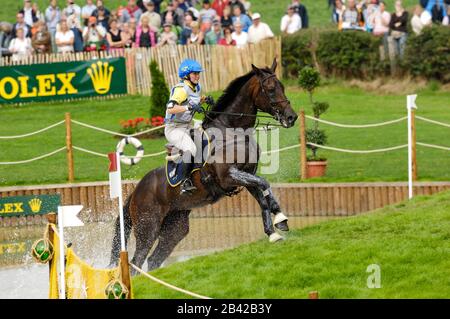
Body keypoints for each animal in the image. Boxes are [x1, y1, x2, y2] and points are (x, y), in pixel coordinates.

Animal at [110, 59, 298, 272]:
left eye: (282, 86)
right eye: (271, 89)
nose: (291, 117)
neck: (232, 131)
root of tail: (135, 191)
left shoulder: (247, 175)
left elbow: (263, 194)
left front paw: (275, 227)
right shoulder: (229, 176)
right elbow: (264, 184)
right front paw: (278, 221)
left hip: (175, 228)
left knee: (153, 260)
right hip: (147, 228)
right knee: (136, 262)